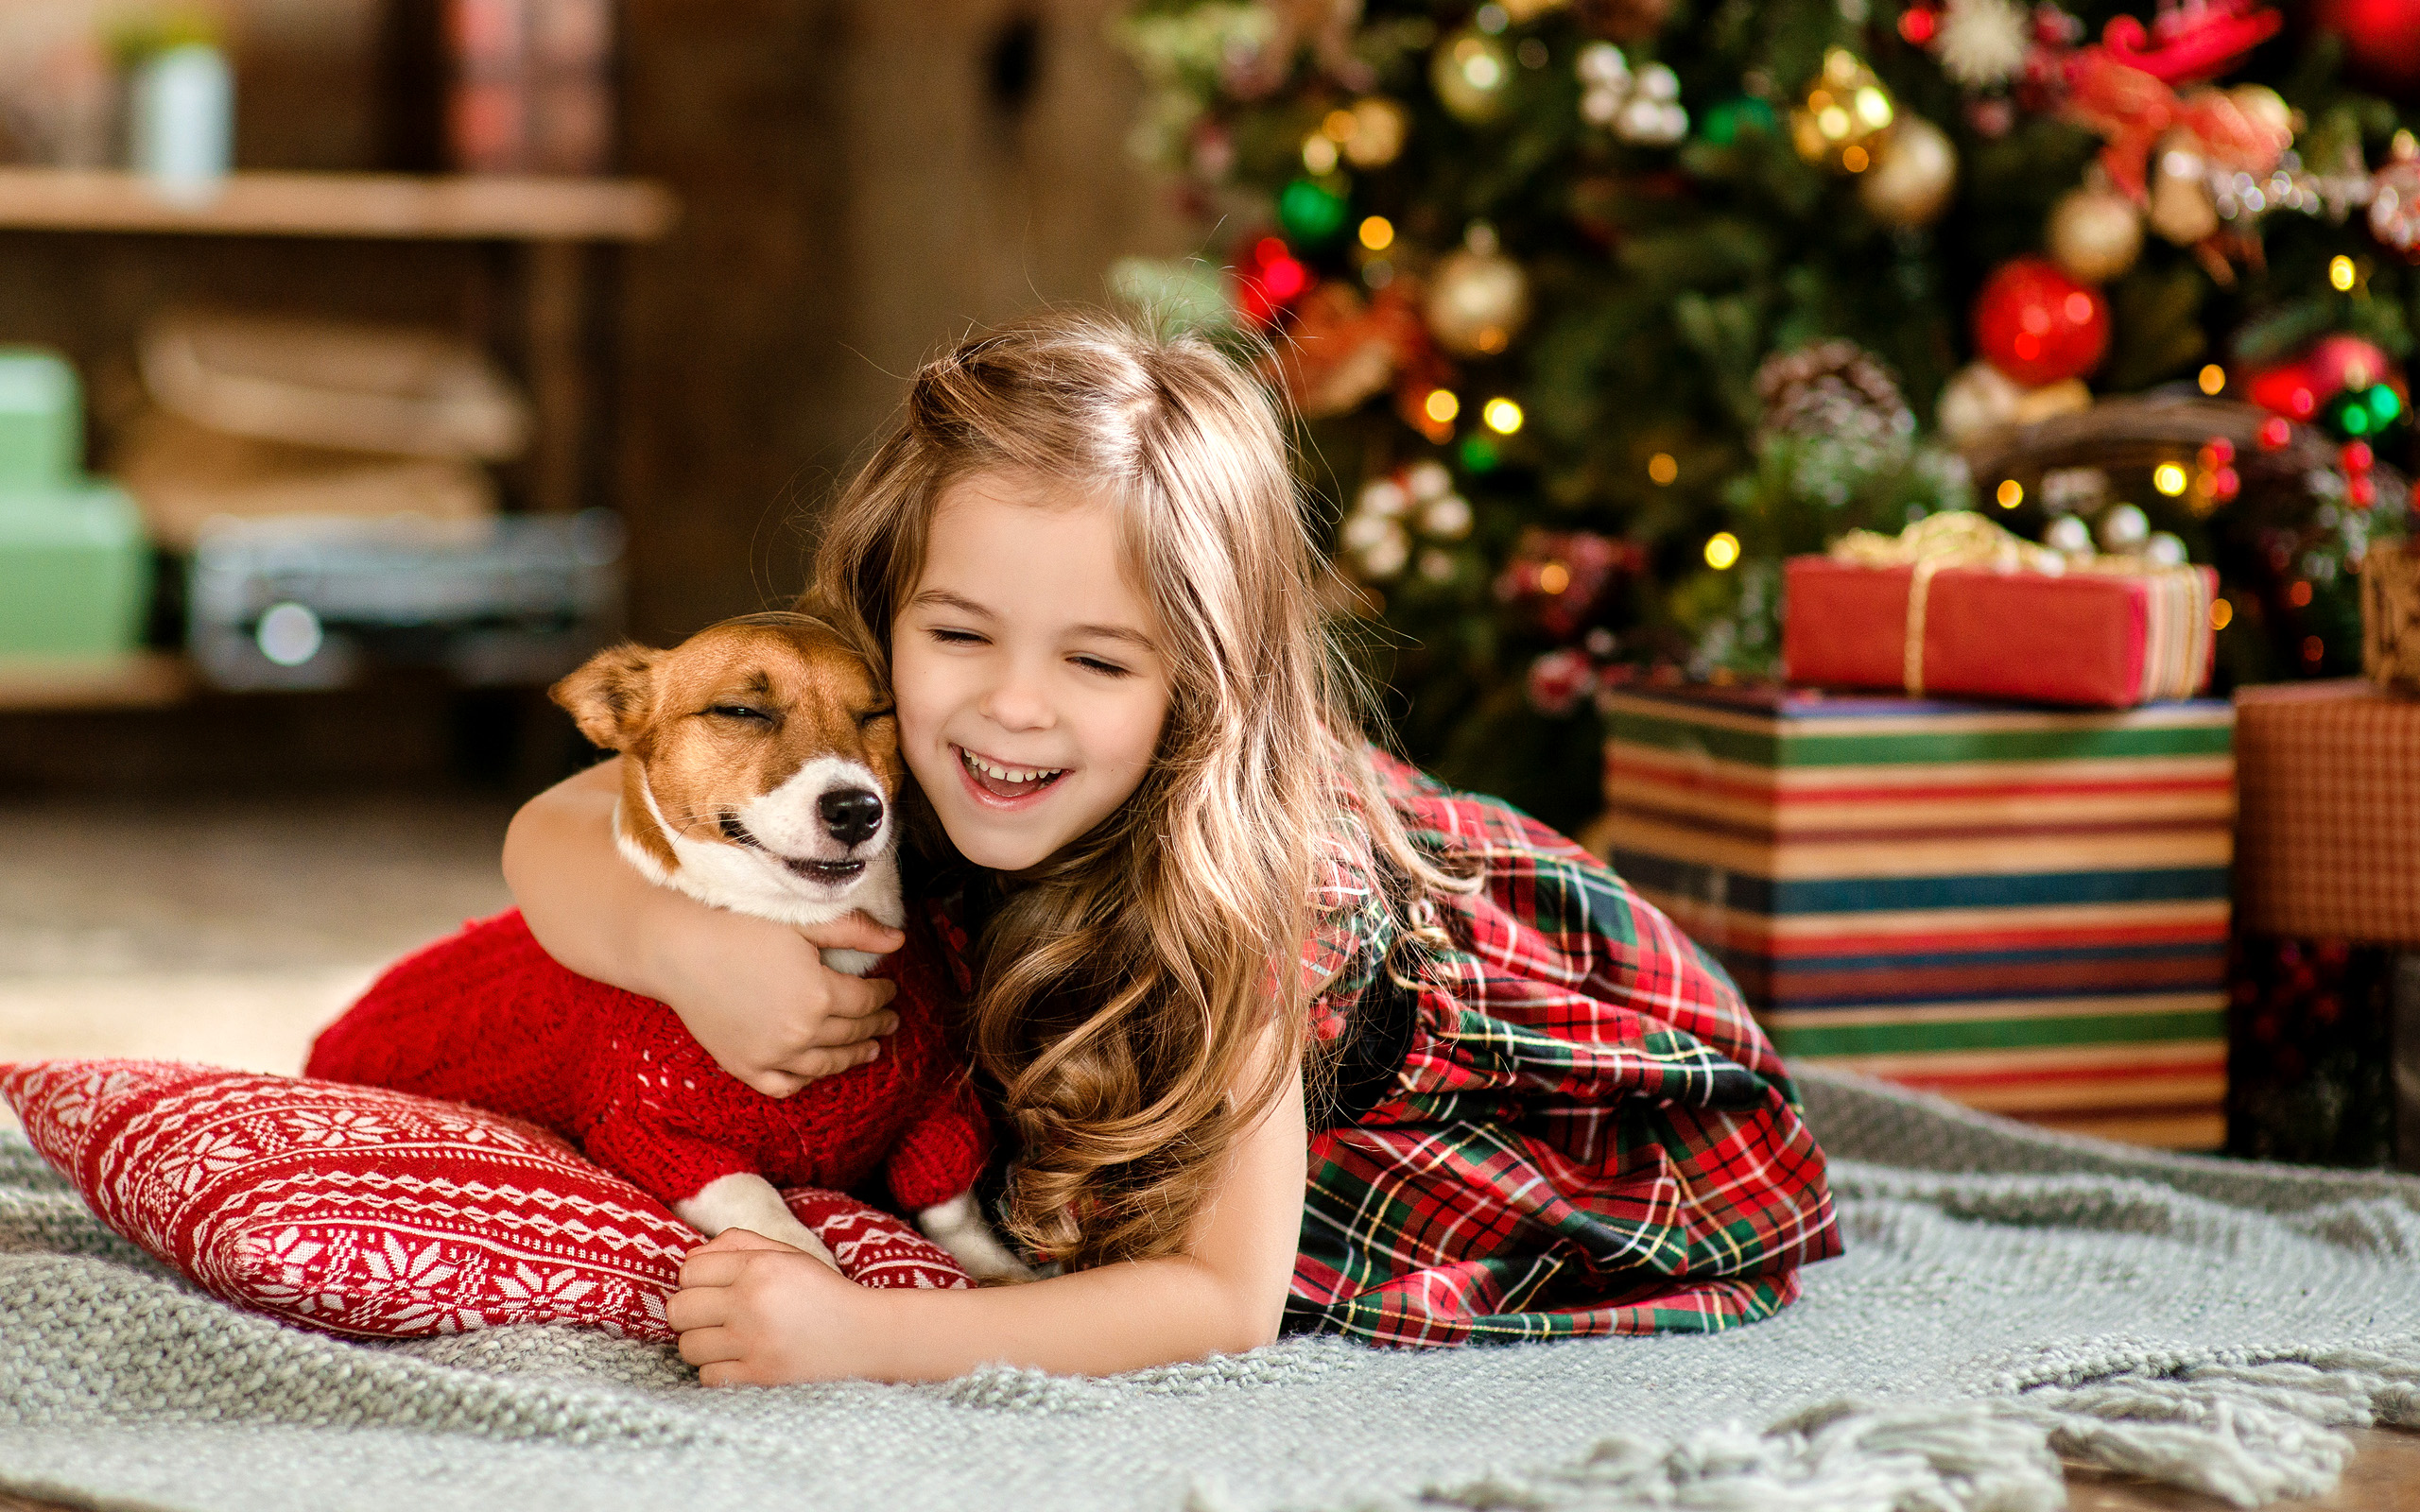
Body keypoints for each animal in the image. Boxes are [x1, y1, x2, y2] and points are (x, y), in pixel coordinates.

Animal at [307, 614, 1026, 1286]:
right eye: (740, 711)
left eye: (879, 714)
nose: (856, 809)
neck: (807, 930)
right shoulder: (651, 1134)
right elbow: (757, 1199)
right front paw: (797, 1258)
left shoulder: (939, 1112)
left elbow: (951, 1206)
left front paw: (996, 1268)